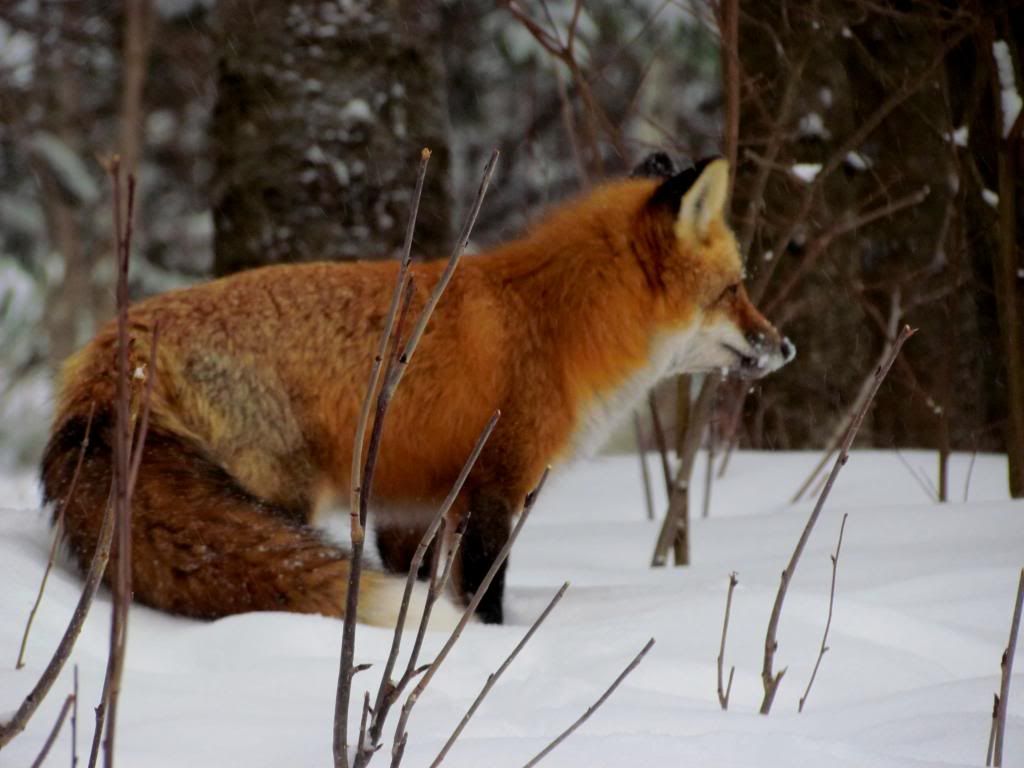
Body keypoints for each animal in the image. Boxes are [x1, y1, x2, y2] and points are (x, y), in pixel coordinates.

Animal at [39, 154, 790, 626]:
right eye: (734, 290)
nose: (784, 346)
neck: (549, 326)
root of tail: (120, 341)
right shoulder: (495, 486)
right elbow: (484, 596)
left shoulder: (412, 505)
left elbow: (418, 582)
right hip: (281, 494)